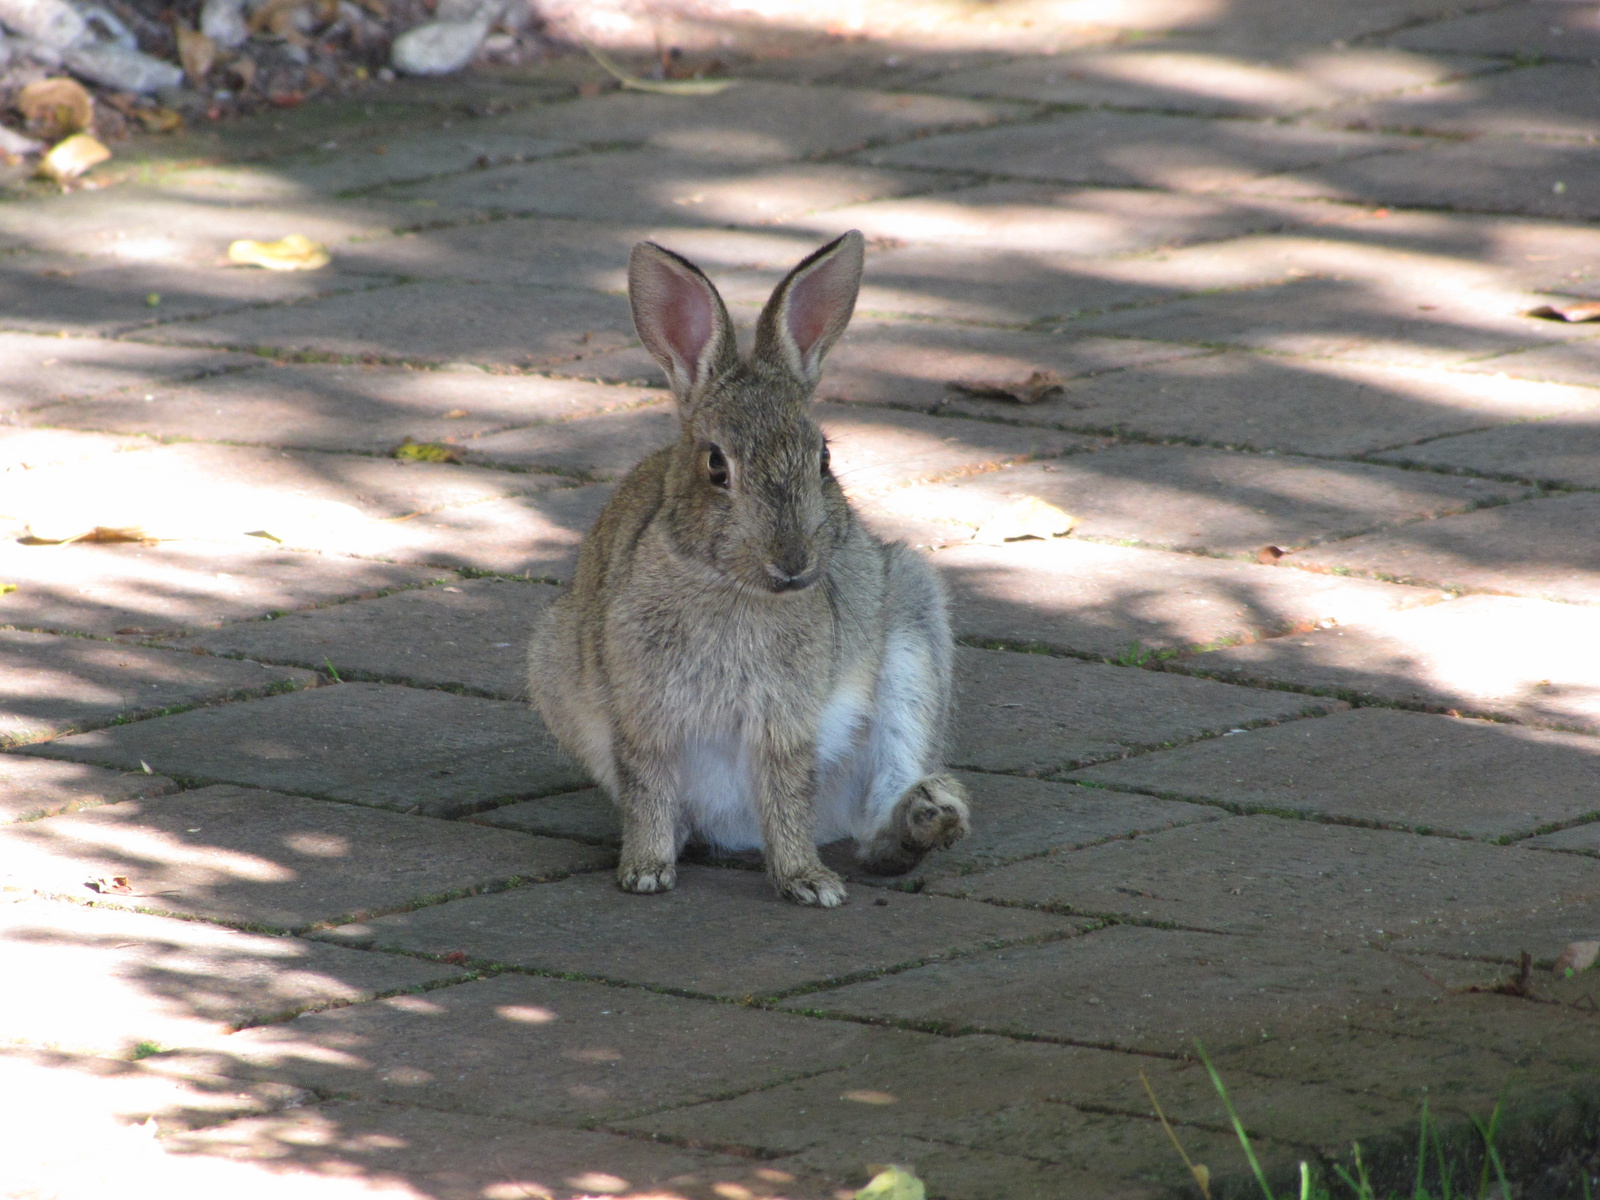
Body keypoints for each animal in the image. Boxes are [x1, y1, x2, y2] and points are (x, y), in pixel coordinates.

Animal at [531, 230, 966, 908]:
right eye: (716, 465)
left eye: (823, 458)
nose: (793, 563)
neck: (730, 586)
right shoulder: (641, 712)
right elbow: (647, 784)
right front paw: (646, 871)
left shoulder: (786, 717)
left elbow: (785, 788)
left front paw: (808, 882)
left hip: (913, 633)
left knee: (875, 816)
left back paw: (925, 820)